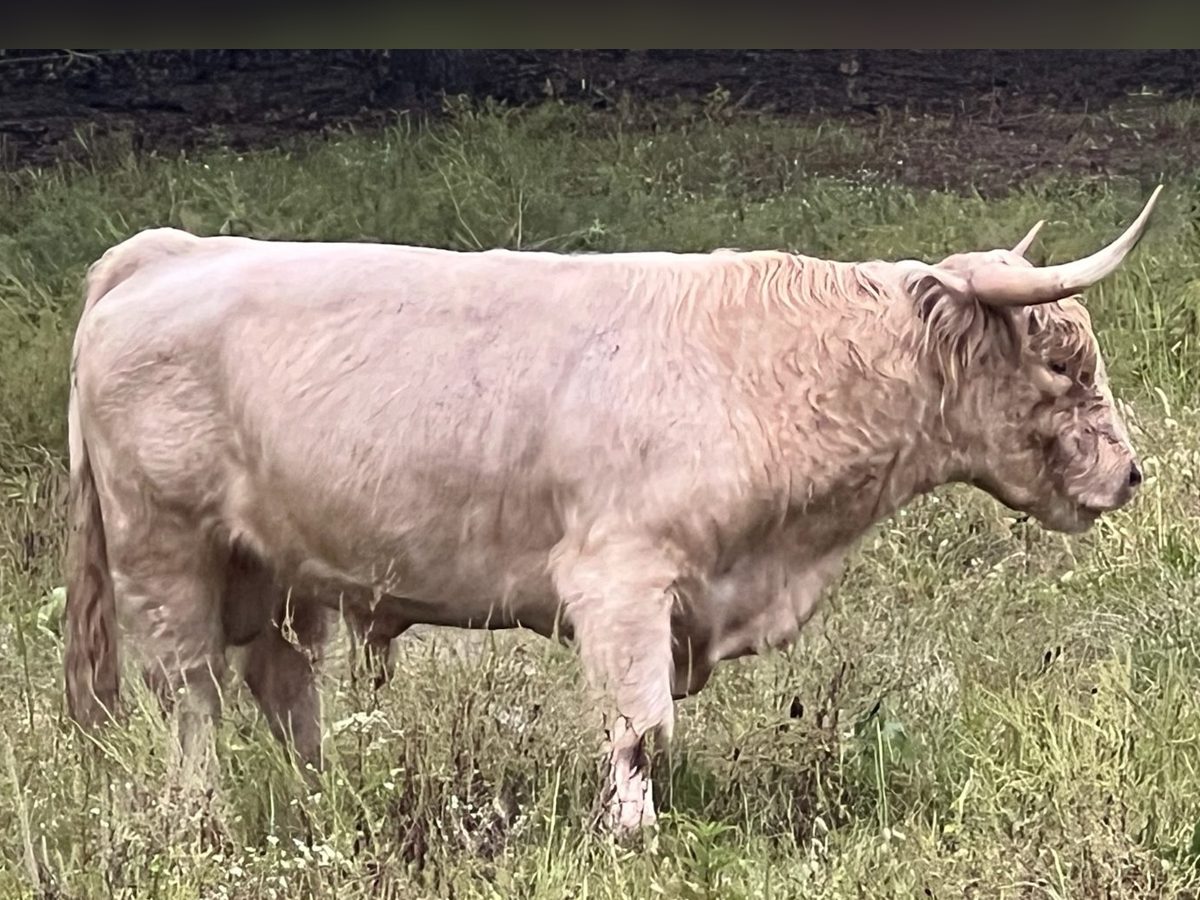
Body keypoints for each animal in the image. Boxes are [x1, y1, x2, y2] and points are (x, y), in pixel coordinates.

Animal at [63, 186, 1160, 833]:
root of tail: (169, 251)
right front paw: (634, 839)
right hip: (164, 548)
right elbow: (639, 730)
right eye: (1064, 366)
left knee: (283, 685)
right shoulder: (620, 582)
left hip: (283, 568)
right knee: (191, 693)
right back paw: (204, 817)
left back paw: (322, 802)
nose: (1131, 475)